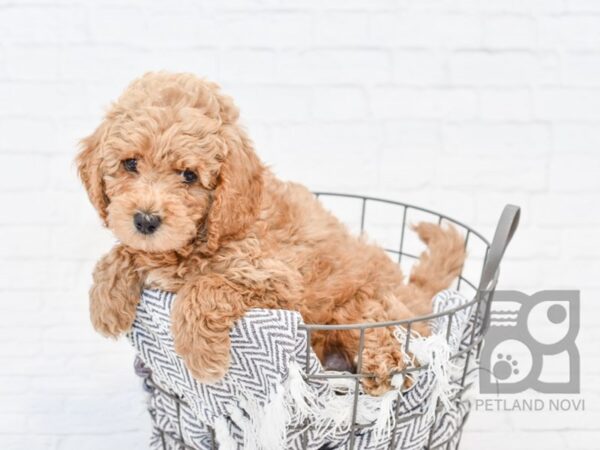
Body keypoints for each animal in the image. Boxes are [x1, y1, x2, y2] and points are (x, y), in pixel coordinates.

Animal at [78, 72, 464, 396]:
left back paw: (384, 366)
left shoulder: (277, 282)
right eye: (130, 164)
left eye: (189, 176)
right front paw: (106, 301)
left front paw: (201, 355)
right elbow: (127, 251)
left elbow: (205, 285)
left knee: (385, 330)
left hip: (368, 305)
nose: (145, 221)